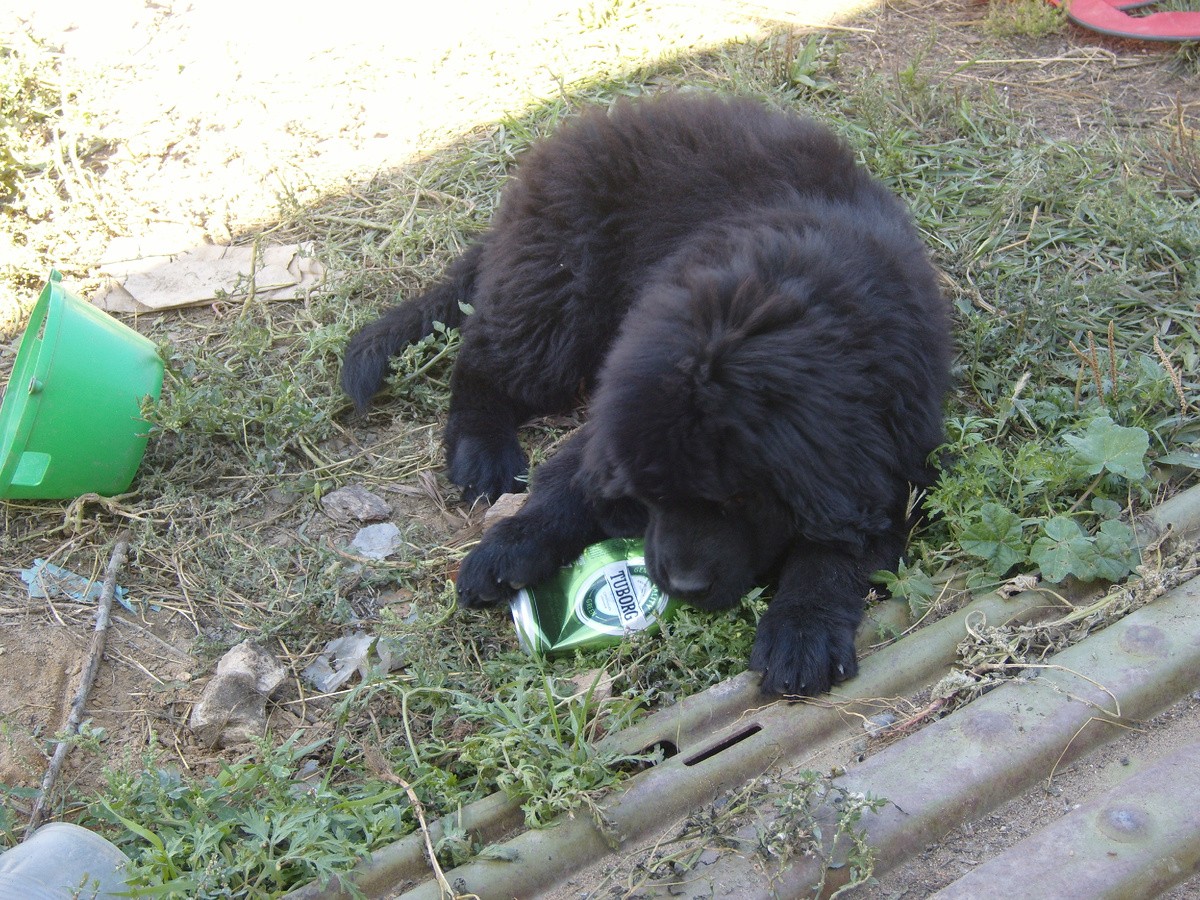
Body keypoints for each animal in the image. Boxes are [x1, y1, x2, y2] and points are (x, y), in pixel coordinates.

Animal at [341, 93, 951, 695]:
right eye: (653, 496)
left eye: (740, 500)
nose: (681, 586)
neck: (764, 303)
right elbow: (571, 481)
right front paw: (511, 544)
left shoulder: (892, 460)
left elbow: (837, 549)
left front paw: (802, 630)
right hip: (558, 291)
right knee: (483, 361)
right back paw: (483, 455)